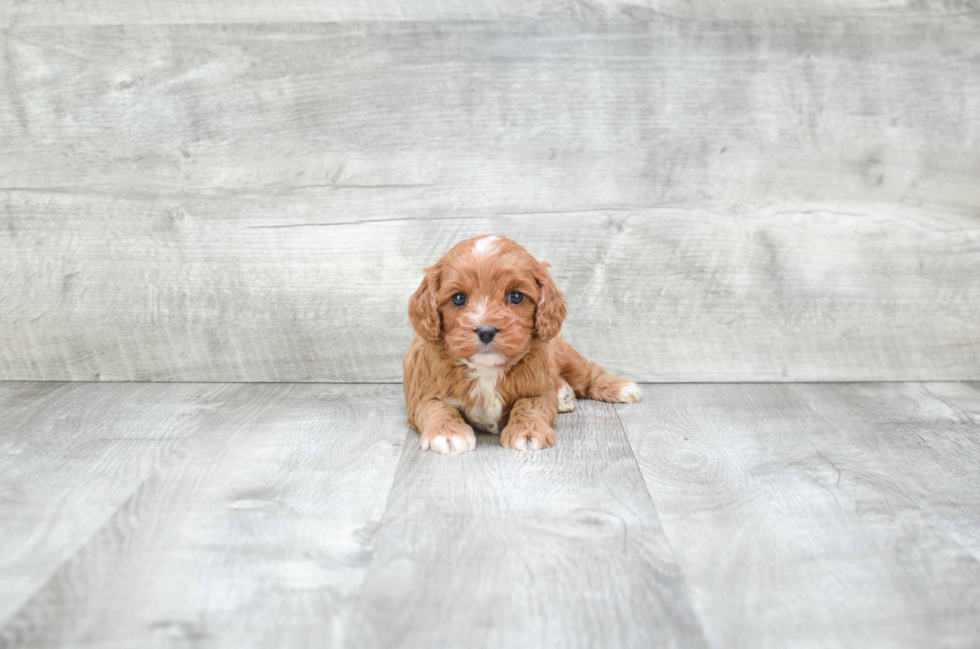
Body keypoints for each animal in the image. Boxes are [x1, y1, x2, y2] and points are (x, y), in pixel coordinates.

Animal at [402, 235, 640, 454]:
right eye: (458, 298)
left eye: (516, 296)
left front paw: (527, 432)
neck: (486, 369)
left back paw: (621, 387)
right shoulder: (423, 394)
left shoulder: (538, 391)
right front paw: (448, 434)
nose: (486, 331)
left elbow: (528, 404)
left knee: (588, 373)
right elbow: (437, 407)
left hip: (565, 355)